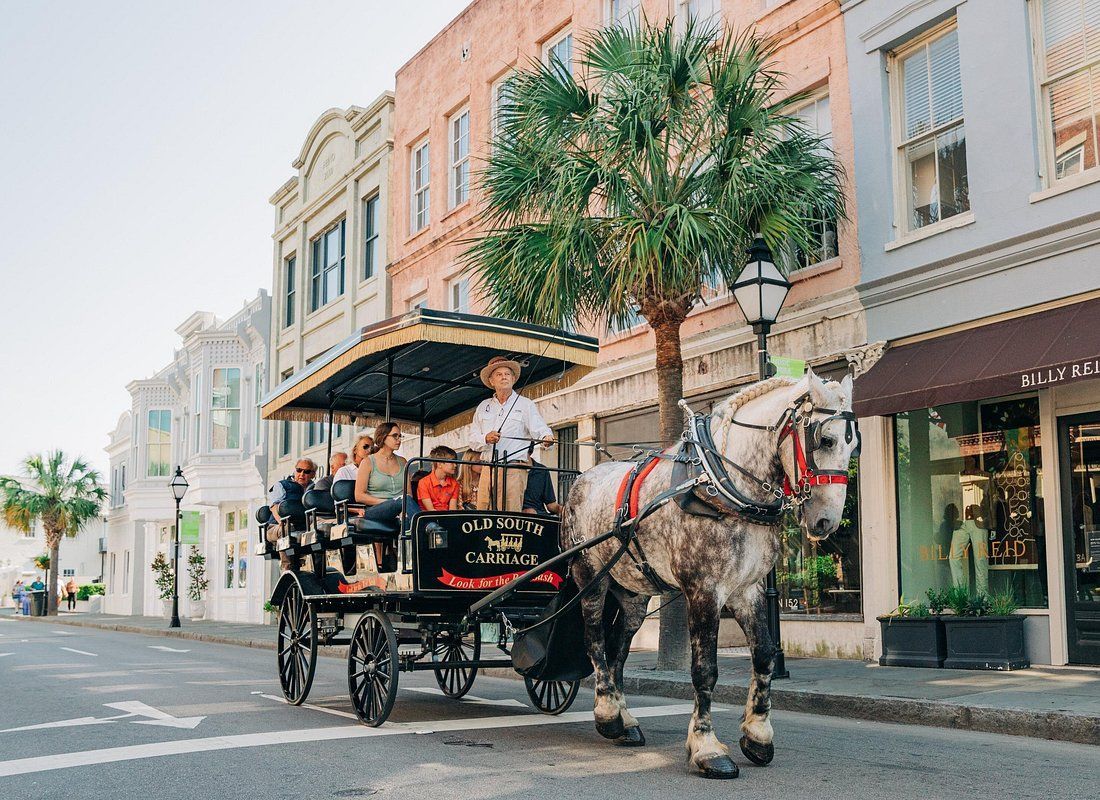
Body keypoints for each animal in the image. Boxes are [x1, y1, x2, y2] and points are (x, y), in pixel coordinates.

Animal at [562, 371, 858, 779]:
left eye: (853, 445)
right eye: (825, 440)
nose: (826, 521)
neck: (723, 484)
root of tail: (580, 479)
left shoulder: (747, 589)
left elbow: (765, 655)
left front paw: (757, 735)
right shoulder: (704, 589)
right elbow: (705, 670)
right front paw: (707, 749)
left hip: (634, 592)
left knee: (618, 648)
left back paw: (625, 722)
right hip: (590, 575)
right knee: (595, 641)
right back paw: (607, 715)